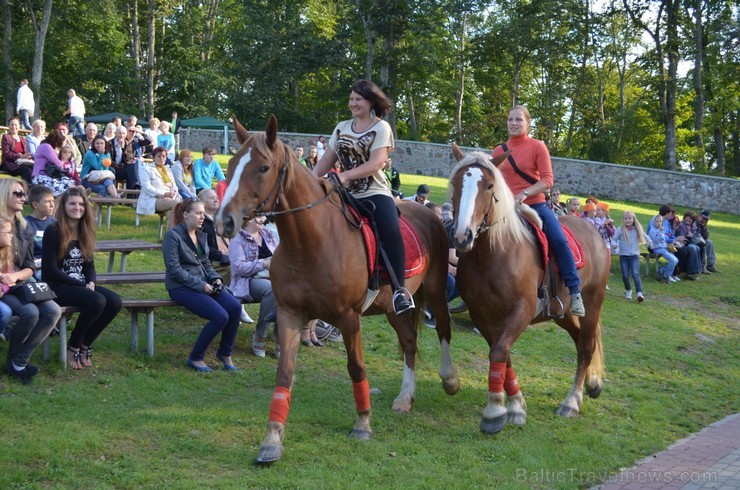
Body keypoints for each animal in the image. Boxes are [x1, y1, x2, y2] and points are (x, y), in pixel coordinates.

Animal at [214, 116, 456, 464]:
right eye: (232, 164)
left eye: (263, 167)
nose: (224, 222)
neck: (311, 241)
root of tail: (431, 215)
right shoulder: (289, 314)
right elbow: (284, 373)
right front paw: (272, 440)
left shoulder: (348, 317)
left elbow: (356, 368)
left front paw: (363, 424)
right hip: (392, 307)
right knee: (409, 342)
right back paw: (404, 398)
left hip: (435, 291)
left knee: (444, 330)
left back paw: (450, 380)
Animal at [448, 147, 604, 434]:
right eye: (455, 182)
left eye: (489, 185)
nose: (463, 235)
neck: (495, 254)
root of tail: (595, 232)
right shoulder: (481, 315)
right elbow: (502, 354)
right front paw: (516, 405)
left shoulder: (521, 310)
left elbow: (499, 351)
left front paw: (495, 412)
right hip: (563, 313)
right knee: (580, 341)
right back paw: (592, 383)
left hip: (592, 304)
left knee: (587, 346)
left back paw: (572, 402)